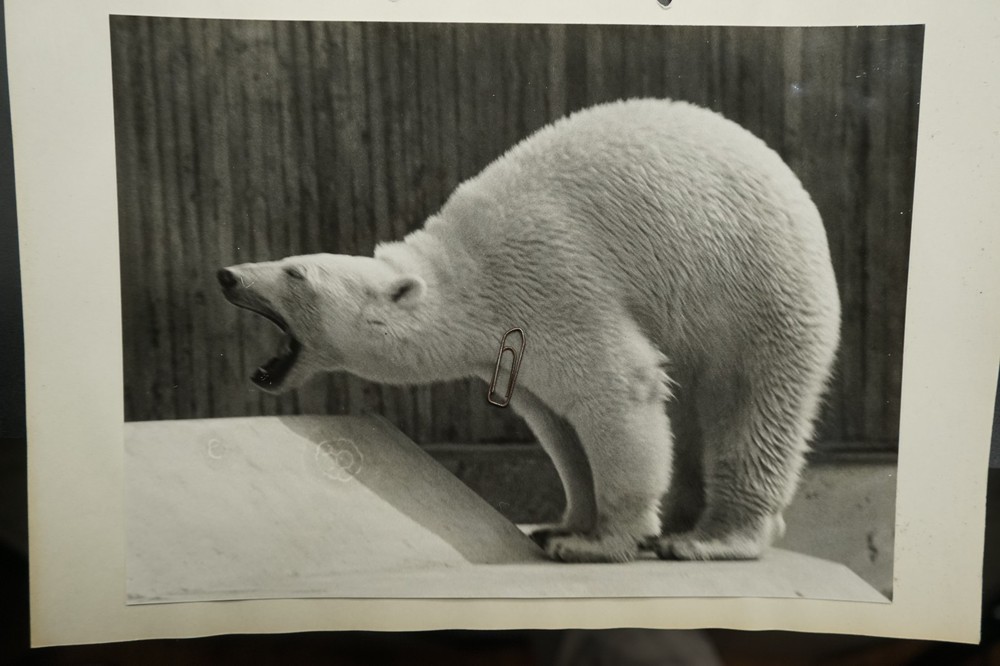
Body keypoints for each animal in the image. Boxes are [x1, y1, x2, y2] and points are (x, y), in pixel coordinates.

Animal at [217, 99, 841, 564]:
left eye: (294, 271)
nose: (227, 276)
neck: (464, 276)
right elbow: (558, 424)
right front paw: (563, 525)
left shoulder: (554, 283)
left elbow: (616, 388)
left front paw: (599, 544)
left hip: (759, 292)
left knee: (752, 406)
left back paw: (709, 538)